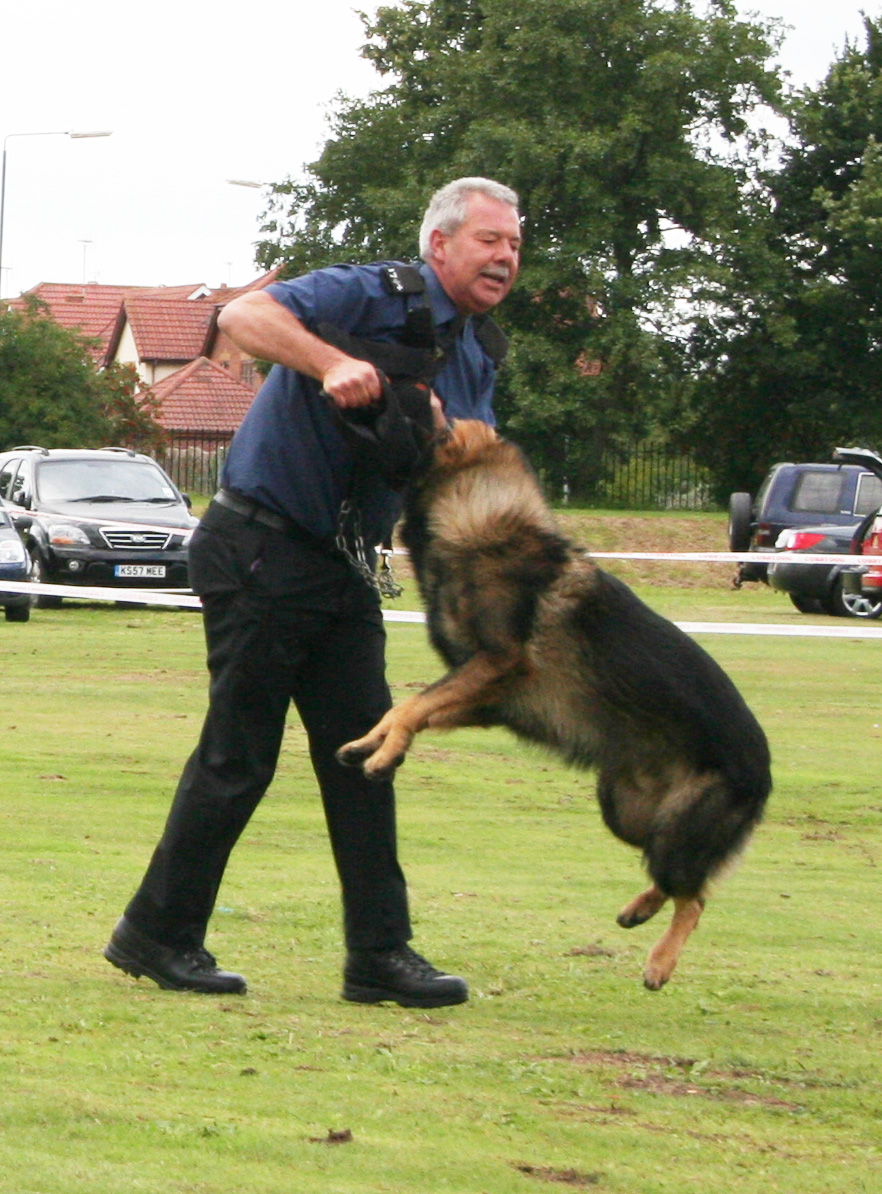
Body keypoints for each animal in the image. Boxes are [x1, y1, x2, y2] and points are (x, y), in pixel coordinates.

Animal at [338, 420, 773, 988]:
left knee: (694, 897)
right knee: (679, 880)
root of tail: (765, 770)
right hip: (626, 813)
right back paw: (638, 909)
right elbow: (408, 709)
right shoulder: (487, 696)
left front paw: (384, 752)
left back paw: (660, 962)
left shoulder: (495, 666)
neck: (481, 521)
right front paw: (374, 743)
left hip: (675, 832)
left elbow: (413, 705)